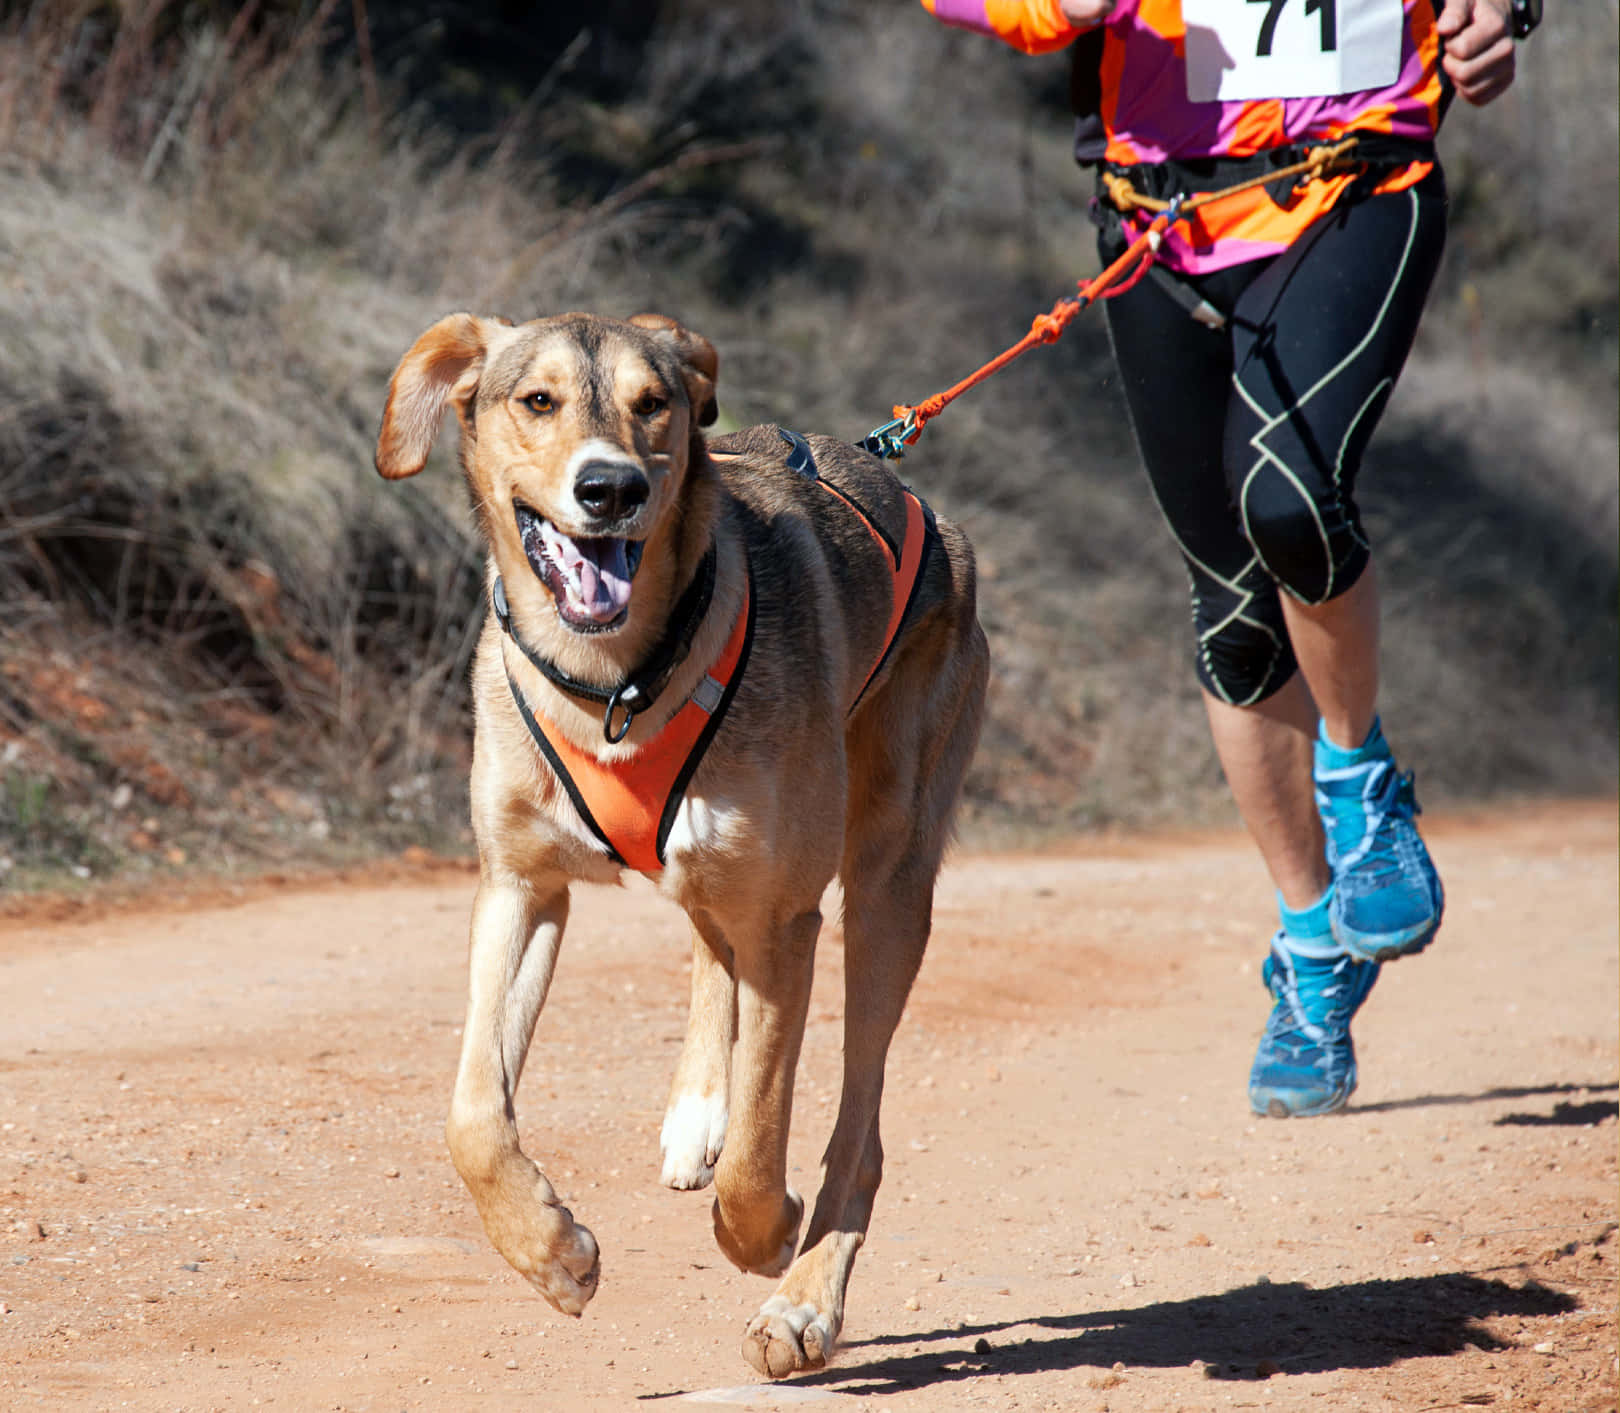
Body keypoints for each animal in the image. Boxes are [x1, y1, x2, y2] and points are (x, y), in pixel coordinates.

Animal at [375, 311, 984, 1380]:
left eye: (652, 403)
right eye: (537, 400)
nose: (610, 488)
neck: (613, 680)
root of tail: (923, 507)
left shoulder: (787, 919)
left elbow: (761, 1147)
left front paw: (763, 1235)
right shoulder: (519, 887)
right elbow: (471, 1117)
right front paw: (553, 1252)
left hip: (887, 884)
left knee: (858, 1127)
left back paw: (802, 1298)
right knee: (708, 941)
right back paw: (696, 1110)